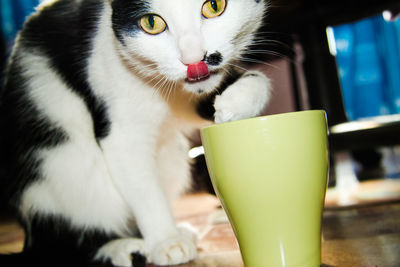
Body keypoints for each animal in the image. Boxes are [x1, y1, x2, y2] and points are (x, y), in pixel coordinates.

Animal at [0, 0, 270, 266]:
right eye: (151, 23)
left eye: (214, 6)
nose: (193, 58)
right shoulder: (121, 132)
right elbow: (144, 188)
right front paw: (166, 241)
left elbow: (254, 82)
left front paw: (236, 103)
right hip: (57, 175)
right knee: (58, 243)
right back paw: (124, 248)